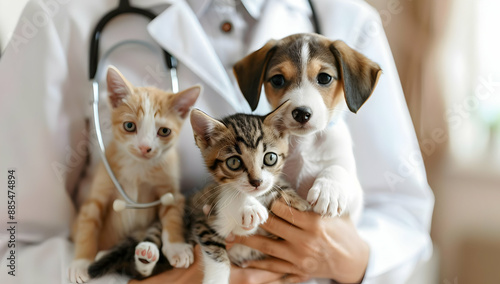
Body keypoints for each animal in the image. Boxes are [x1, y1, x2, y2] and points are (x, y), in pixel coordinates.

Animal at [68, 66, 199, 282]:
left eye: (164, 131)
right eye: (129, 126)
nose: (145, 148)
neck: (139, 169)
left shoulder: (171, 192)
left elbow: (172, 216)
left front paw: (177, 247)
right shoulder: (97, 195)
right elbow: (87, 224)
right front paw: (80, 263)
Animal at [232, 33, 380, 220]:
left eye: (324, 78)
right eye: (278, 79)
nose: (301, 113)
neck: (304, 143)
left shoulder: (355, 204)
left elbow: (337, 169)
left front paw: (329, 190)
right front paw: (246, 204)